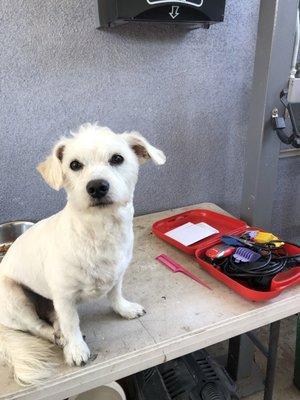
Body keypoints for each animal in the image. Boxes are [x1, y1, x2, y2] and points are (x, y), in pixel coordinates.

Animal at [0, 124, 165, 384]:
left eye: (117, 158)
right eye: (74, 164)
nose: (96, 186)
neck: (100, 231)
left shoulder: (118, 275)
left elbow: (115, 295)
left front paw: (124, 309)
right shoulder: (64, 298)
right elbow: (71, 324)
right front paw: (76, 349)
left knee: (52, 317)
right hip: (15, 297)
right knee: (37, 326)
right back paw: (58, 337)